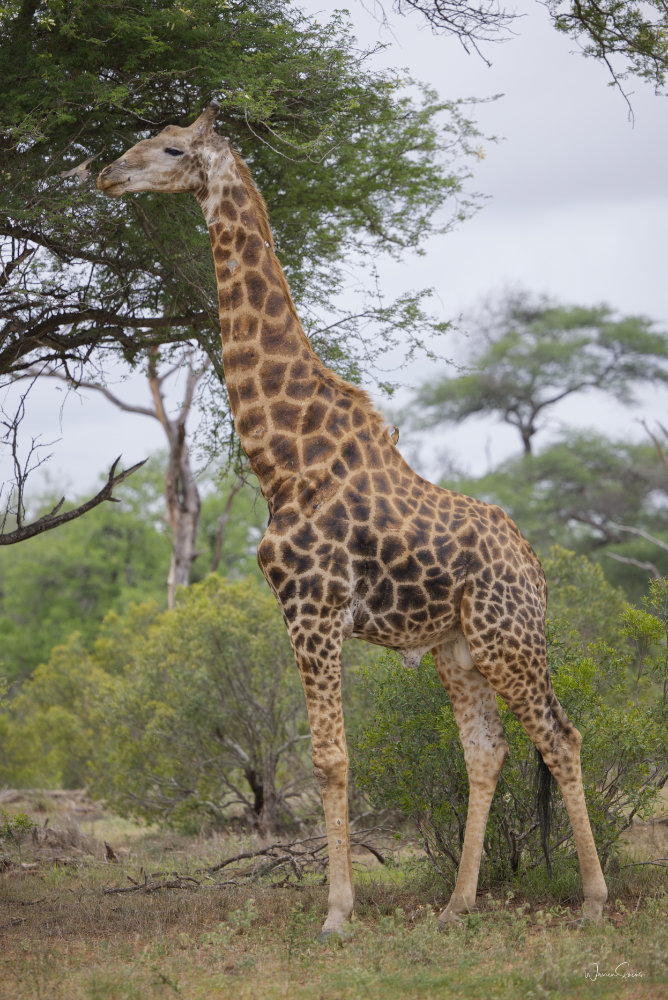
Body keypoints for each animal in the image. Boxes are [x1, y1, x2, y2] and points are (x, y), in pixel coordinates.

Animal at [98, 104, 608, 936]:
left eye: (171, 148)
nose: (109, 174)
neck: (283, 458)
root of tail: (534, 562)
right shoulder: (309, 612)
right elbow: (337, 758)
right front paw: (348, 905)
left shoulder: (312, 606)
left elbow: (330, 759)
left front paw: (338, 913)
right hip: (458, 647)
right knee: (488, 750)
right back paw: (458, 903)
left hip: (508, 635)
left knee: (560, 735)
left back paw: (594, 897)